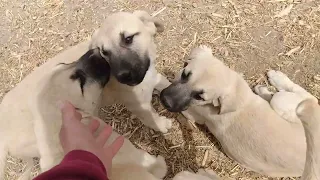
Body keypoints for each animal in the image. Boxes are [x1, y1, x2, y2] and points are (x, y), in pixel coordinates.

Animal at [160, 45, 318, 177]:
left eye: (199, 96)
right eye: (185, 75)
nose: (165, 100)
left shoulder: (193, 113)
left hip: (286, 104)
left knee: (304, 97)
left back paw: (276, 81)